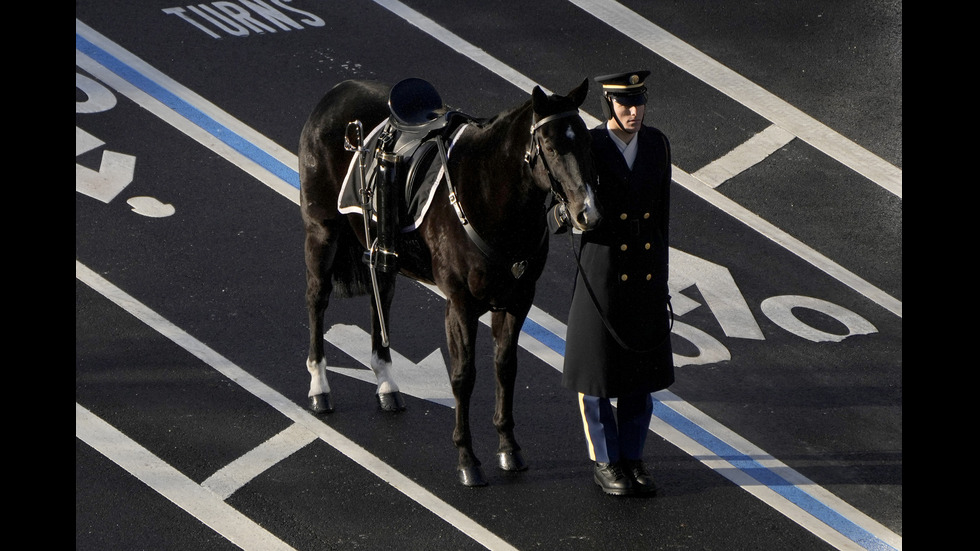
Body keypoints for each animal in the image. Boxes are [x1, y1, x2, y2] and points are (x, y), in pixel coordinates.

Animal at [298, 78, 596, 488]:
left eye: (586, 141)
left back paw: (387, 383)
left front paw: (508, 448)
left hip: (380, 252)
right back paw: (319, 386)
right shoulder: (461, 304)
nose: (586, 212)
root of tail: (337, 91)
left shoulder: (518, 300)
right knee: (317, 299)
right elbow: (463, 376)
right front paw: (467, 459)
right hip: (322, 232)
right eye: (549, 146)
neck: (490, 198)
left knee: (380, 299)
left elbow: (506, 368)